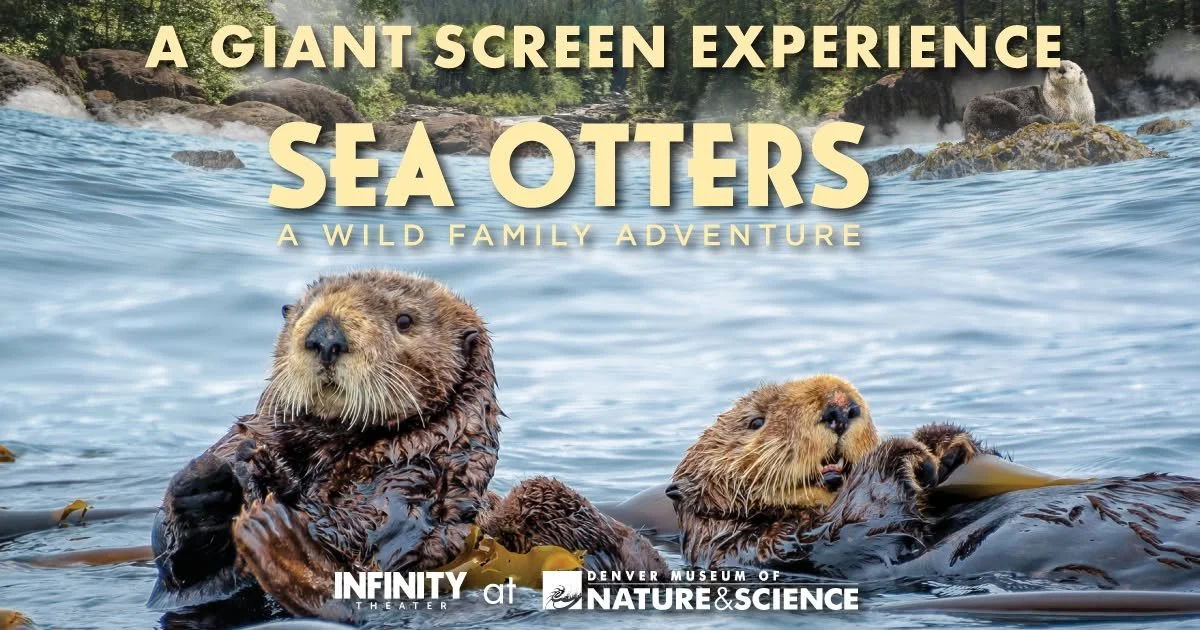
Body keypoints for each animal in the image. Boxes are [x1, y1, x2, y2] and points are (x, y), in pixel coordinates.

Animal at [149, 270, 500, 620]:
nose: (326, 338)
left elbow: (363, 535)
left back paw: (276, 536)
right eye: (301, 313)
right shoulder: (258, 430)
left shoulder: (419, 475)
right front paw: (204, 485)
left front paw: (271, 479)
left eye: (405, 320)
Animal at [963, 60, 1097, 141]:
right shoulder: (1058, 110)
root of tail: (968, 122)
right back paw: (1043, 120)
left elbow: (1090, 122)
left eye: (1071, 67)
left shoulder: (1088, 111)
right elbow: (1065, 119)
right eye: (1054, 68)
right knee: (1019, 120)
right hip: (994, 104)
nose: (1061, 70)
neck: (1074, 103)